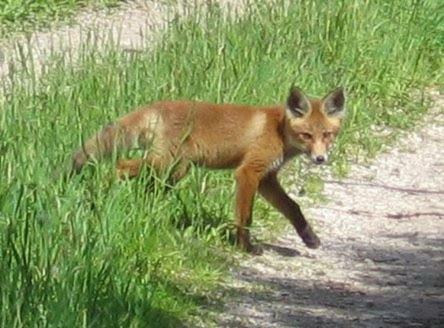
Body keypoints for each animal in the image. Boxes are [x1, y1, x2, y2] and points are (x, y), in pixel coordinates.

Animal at [71, 86, 346, 254]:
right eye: (307, 135)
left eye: (327, 135)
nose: (320, 158)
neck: (278, 129)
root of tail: (155, 106)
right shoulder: (248, 172)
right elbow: (245, 217)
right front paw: (245, 247)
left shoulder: (267, 178)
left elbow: (293, 208)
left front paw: (310, 237)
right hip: (169, 165)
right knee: (118, 166)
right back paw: (100, 196)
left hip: (171, 171)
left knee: (142, 185)